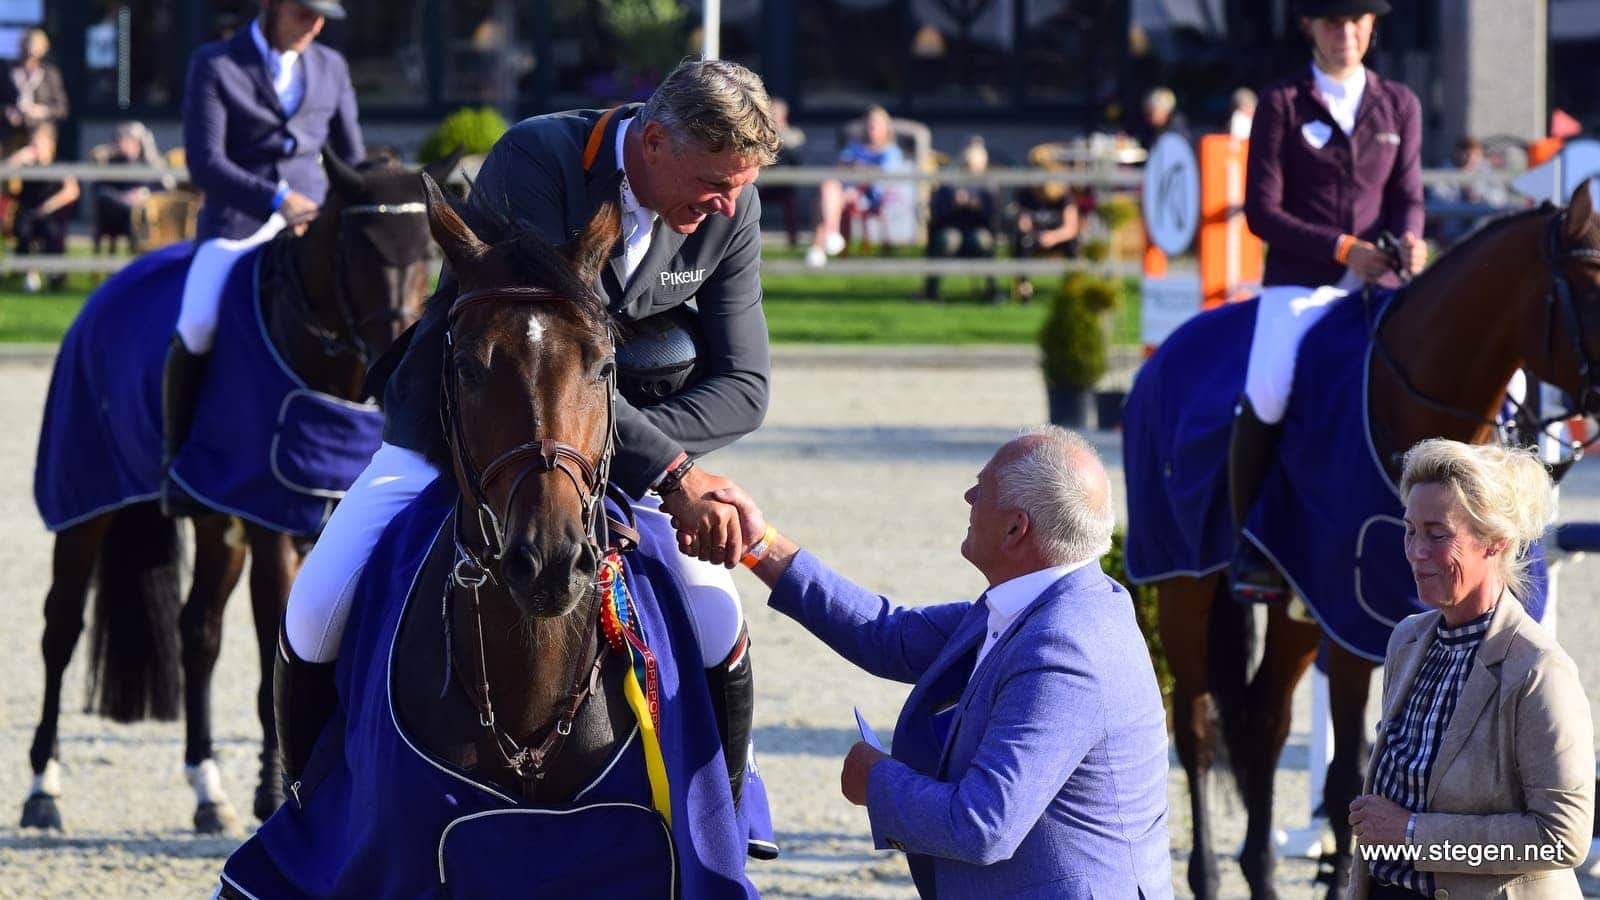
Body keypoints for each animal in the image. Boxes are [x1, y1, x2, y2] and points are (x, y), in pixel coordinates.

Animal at [23, 150, 464, 832]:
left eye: (428, 251)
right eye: (357, 250)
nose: (397, 350)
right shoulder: (273, 530)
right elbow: (267, 668)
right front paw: (275, 793)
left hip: (216, 526)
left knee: (197, 632)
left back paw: (208, 789)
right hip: (83, 508)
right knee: (61, 630)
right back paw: (44, 787)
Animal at [1145, 178, 1593, 890]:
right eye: (1590, 283)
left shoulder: (1359, 613)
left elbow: (1345, 775)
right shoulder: (1350, 621)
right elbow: (1349, 775)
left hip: (1296, 611)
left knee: (1267, 719)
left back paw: (1261, 869)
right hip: (1184, 586)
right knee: (1195, 729)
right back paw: (1208, 876)